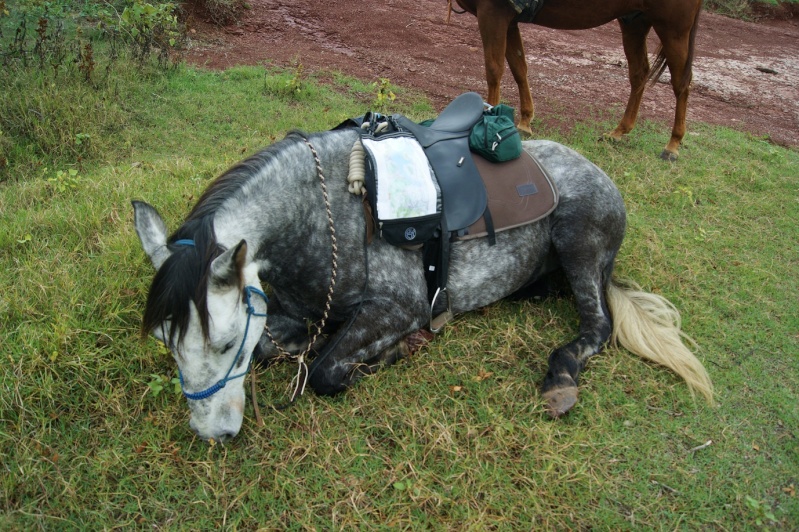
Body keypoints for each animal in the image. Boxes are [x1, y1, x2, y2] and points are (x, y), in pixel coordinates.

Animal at [454, 0, 704, 160]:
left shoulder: (492, 13)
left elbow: (494, 70)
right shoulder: (510, 19)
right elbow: (519, 68)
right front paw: (525, 121)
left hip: (673, 30)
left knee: (681, 84)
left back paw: (672, 145)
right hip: (635, 22)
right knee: (639, 74)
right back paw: (619, 131)